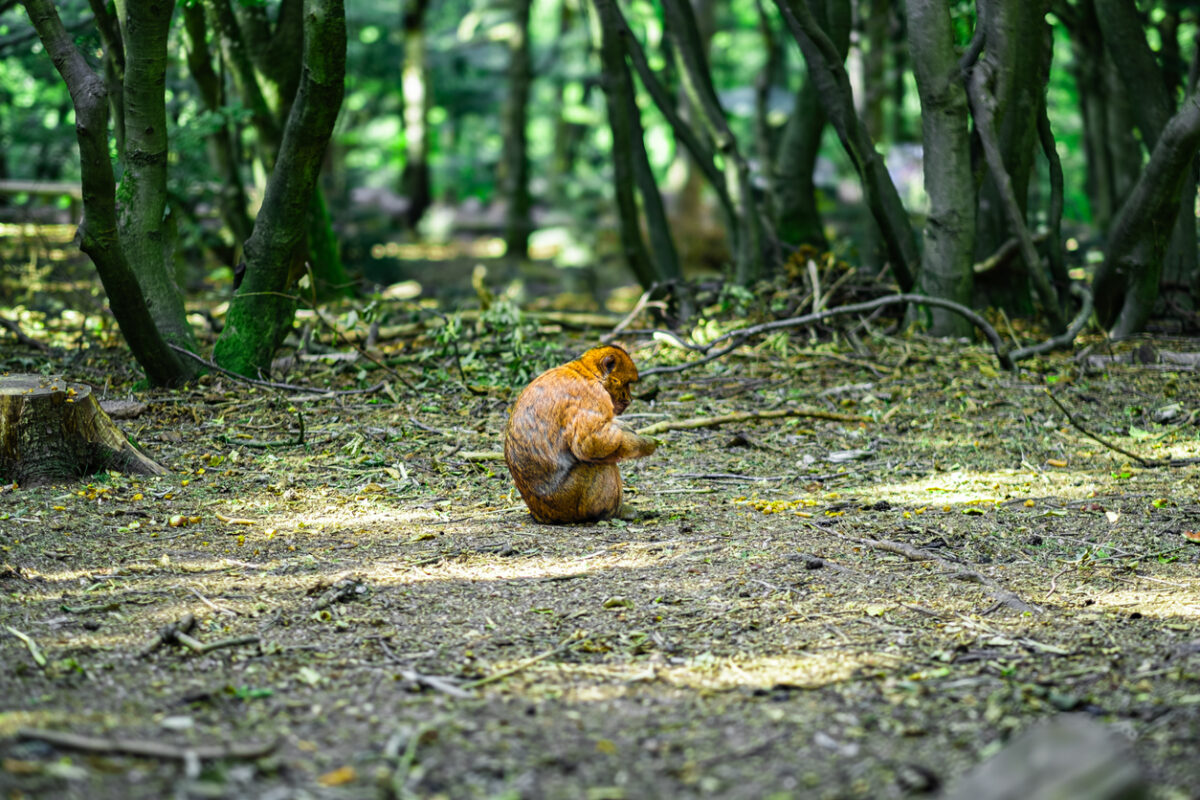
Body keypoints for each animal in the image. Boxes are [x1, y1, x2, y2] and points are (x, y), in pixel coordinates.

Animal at [504, 345, 657, 524]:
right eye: (626, 384)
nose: (629, 398)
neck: (587, 372)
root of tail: (540, 515)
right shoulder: (592, 395)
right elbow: (591, 444)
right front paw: (644, 444)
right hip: (568, 501)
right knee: (599, 464)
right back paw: (615, 512)